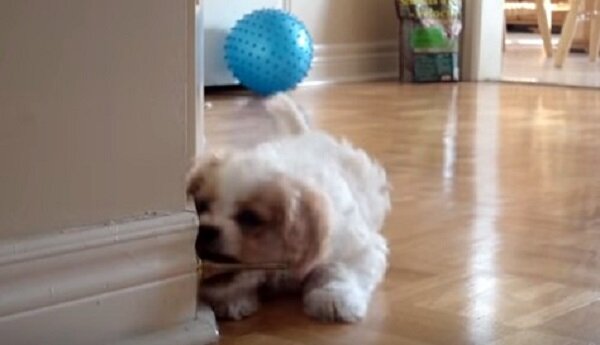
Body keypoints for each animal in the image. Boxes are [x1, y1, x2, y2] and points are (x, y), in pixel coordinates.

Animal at [190, 93, 392, 320]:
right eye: (201, 206)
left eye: (250, 218)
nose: (205, 229)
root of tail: (302, 135)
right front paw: (230, 299)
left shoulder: (357, 249)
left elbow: (339, 269)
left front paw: (333, 298)